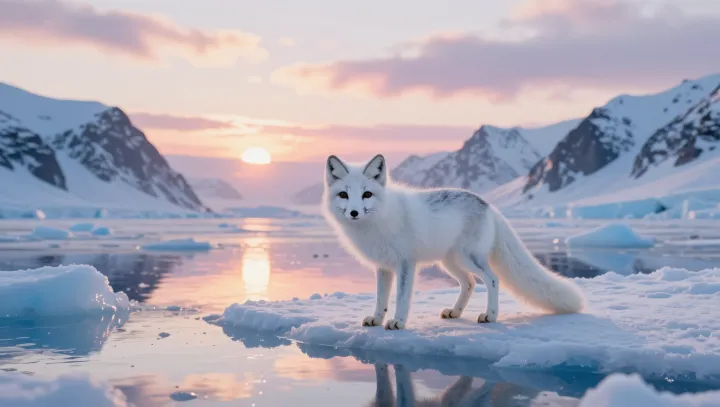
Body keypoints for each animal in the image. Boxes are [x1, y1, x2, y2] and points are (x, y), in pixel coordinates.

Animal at [322, 154, 586, 330]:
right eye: (344, 194)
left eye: (367, 194)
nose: (354, 212)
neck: (379, 220)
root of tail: (489, 205)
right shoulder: (384, 266)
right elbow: (381, 298)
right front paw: (377, 319)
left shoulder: (406, 263)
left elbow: (402, 298)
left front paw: (398, 321)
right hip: (450, 262)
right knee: (469, 283)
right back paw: (455, 312)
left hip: (468, 258)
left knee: (492, 279)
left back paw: (490, 316)